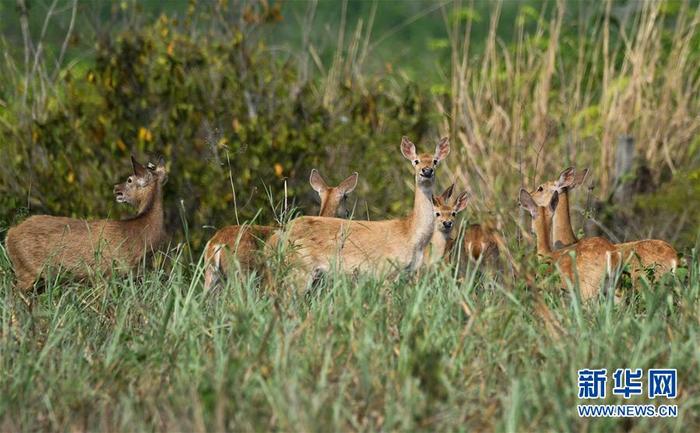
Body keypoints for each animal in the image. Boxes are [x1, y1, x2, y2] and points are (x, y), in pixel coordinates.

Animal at [5, 154, 168, 292]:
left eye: (129, 180)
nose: (115, 188)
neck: (138, 236)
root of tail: (10, 234)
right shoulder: (103, 272)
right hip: (28, 269)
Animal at [266, 133, 452, 286]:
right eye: (416, 161)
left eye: (435, 161)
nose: (426, 171)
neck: (411, 234)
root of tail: (277, 237)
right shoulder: (386, 270)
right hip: (300, 268)